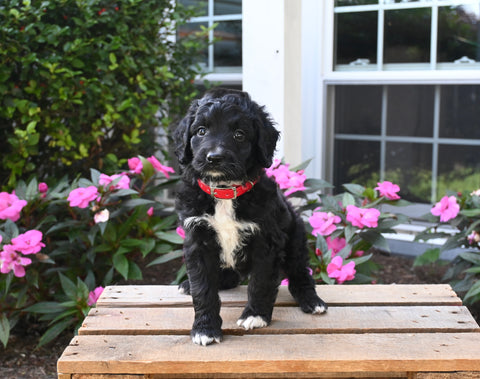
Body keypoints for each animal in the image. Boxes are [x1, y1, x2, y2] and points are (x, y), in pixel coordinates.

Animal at [172, 89, 326, 348]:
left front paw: (255, 315)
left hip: (295, 237)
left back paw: (311, 300)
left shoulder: (267, 241)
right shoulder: (198, 240)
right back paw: (190, 284)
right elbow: (203, 287)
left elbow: (261, 282)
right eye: (201, 131)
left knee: (299, 272)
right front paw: (205, 328)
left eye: (239, 134)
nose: (214, 158)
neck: (225, 191)